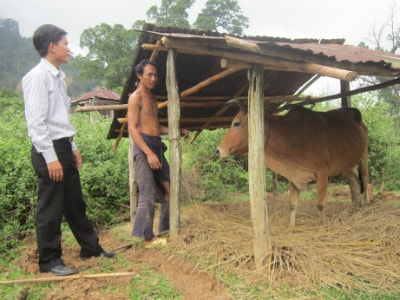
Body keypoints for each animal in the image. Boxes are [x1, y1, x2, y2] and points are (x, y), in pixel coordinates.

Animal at [216, 99, 368, 226]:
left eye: (236, 123)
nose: (218, 150)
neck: (293, 136)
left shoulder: (323, 173)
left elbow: (319, 204)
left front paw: (322, 225)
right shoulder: (293, 176)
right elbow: (292, 204)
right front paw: (291, 225)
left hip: (363, 157)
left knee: (365, 183)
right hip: (348, 166)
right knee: (355, 185)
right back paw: (356, 209)